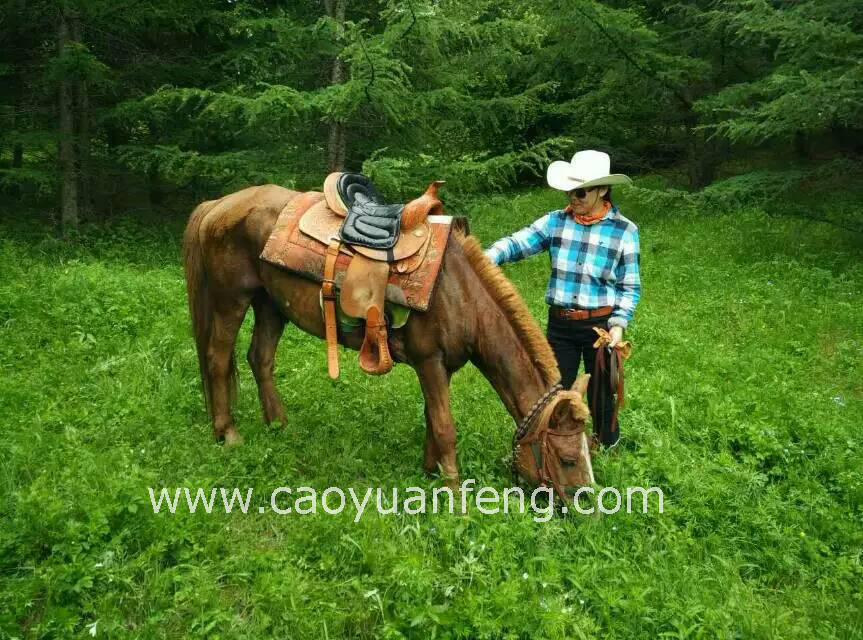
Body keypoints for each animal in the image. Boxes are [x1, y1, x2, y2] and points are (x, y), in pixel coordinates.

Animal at [182, 183, 594, 491]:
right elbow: (445, 428)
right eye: (568, 459)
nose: (586, 505)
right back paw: (229, 434)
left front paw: (429, 473)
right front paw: (453, 492)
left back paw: (278, 426)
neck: (459, 292)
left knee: (260, 358)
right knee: (218, 359)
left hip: (270, 304)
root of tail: (218, 204)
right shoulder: (429, 361)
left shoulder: (441, 368)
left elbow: (432, 420)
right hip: (231, 301)